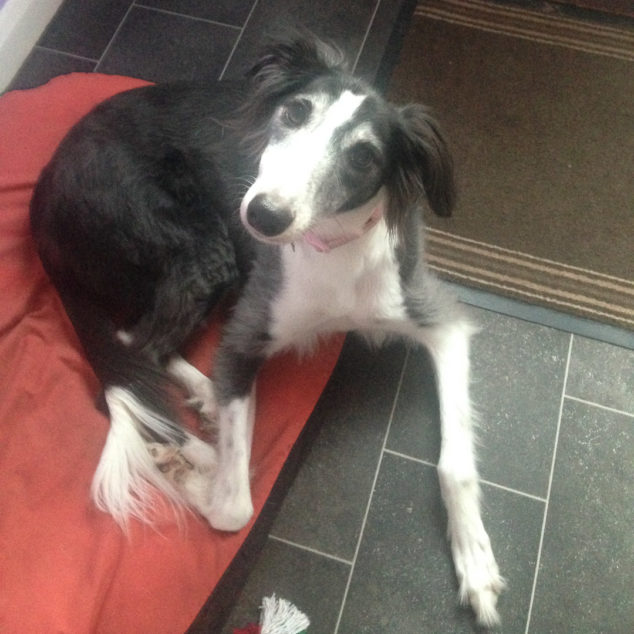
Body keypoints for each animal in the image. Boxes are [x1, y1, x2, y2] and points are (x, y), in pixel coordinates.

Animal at [29, 38, 504, 624]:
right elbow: (233, 509)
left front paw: (476, 564)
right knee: (132, 352)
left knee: (139, 345)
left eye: (364, 157)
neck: (329, 245)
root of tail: (42, 193)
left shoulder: (439, 319)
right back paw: (198, 437)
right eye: (295, 112)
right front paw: (192, 476)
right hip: (200, 246)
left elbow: (455, 464)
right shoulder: (243, 335)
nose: (264, 215)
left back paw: (204, 402)